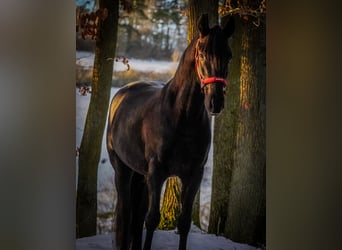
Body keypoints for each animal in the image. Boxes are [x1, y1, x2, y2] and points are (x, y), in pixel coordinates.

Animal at [107, 14, 235, 250]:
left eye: (229, 56)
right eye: (202, 54)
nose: (215, 102)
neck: (182, 117)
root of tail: (122, 93)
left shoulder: (194, 175)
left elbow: (183, 223)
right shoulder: (157, 173)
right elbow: (152, 219)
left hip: (141, 175)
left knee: (136, 217)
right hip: (123, 170)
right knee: (127, 212)